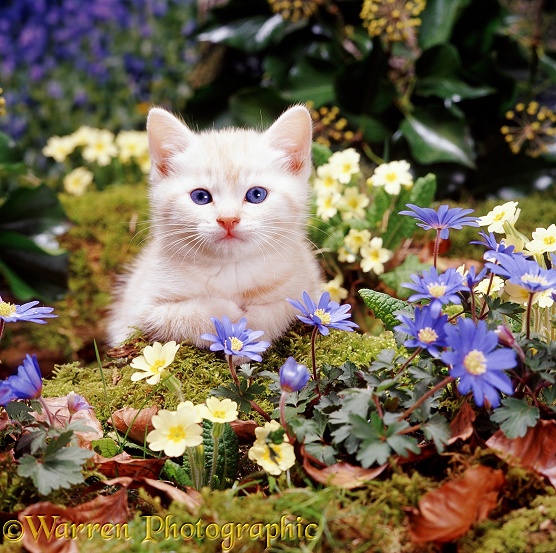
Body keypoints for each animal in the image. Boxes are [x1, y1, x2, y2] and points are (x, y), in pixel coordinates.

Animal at [107, 105, 324, 348]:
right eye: (200, 197)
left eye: (256, 195)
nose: (228, 219)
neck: (231, 271)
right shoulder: (140, 311)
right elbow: (187, 314)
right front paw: (227, 314)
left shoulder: (309, 290)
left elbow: (282, 307)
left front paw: (252, 329)